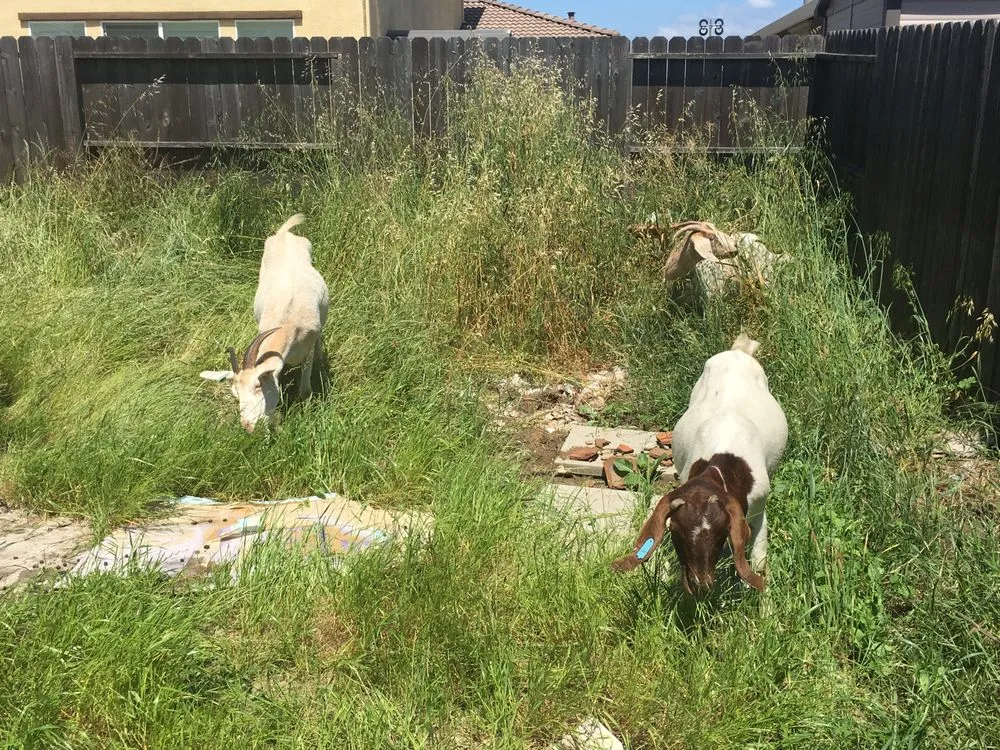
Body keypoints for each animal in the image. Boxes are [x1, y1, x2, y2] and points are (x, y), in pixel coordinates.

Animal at [200, 213, 330, 432]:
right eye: (236, 393)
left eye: (258, 385)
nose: (247, 425)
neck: (288, 322)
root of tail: (283, 233)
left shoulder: (307, 350)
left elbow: (305, 391)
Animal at [612, 333, 787, 595]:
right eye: (675, 531)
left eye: (721, 533)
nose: (700, 584)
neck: (723, 463)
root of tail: (738, 351)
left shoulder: (759, 507)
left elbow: (759, 561)